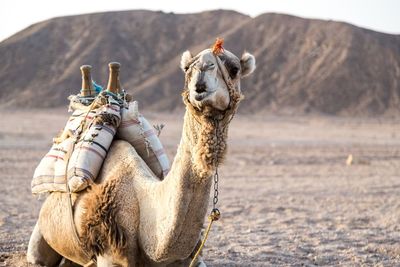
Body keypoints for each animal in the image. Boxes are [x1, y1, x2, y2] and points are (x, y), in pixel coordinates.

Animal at [26, 40, 255, 266]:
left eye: (234, 69)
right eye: (188, 68)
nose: (201, 75)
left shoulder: (192, 258)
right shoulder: (109, 251)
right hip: (41, 237)